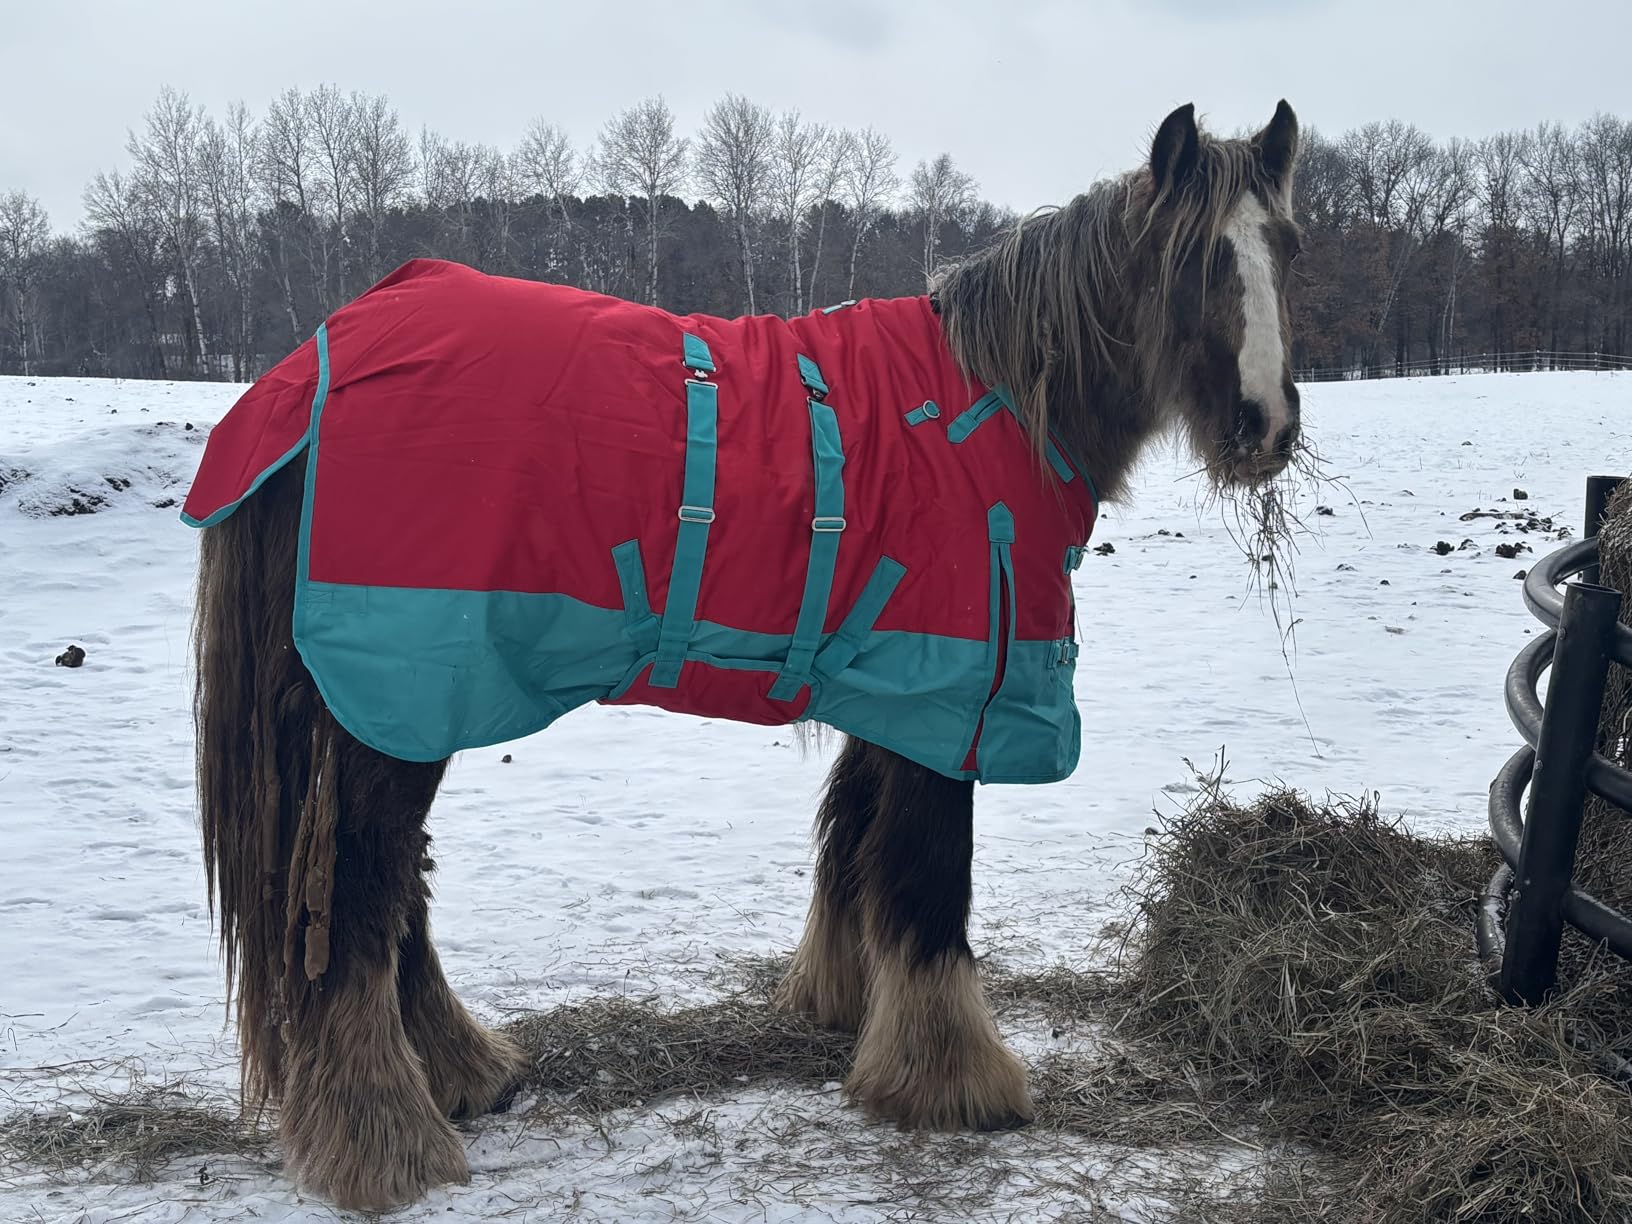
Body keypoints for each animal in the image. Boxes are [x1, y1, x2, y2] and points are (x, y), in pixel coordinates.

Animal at [187, 98, 1303, 1211]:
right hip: (400, 696)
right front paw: (955, 1081)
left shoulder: (891, 682)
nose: (1267, 426)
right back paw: (384, 1141)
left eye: (1286, 247)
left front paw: (849, 1009)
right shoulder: (950, 698)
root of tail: (316, 362)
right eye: (1193, 259)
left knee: (393, 886)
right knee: (360, 892)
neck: (991, 407)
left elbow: (856, 840)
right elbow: (930, 876)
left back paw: (463, 1073)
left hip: (404, 704)